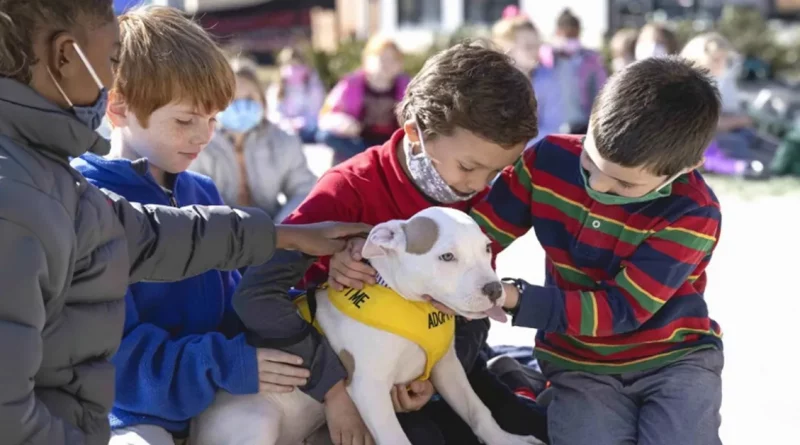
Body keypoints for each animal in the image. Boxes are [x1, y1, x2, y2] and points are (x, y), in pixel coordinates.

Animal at [194, 208, 544, 444]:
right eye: (446, 257)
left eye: (486, 249)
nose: (495, 290)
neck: (411, 304)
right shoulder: (368, 387)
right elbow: (395, 438)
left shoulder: (448, 368)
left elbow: (477, 410)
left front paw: (507, 440)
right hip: (257, 421)